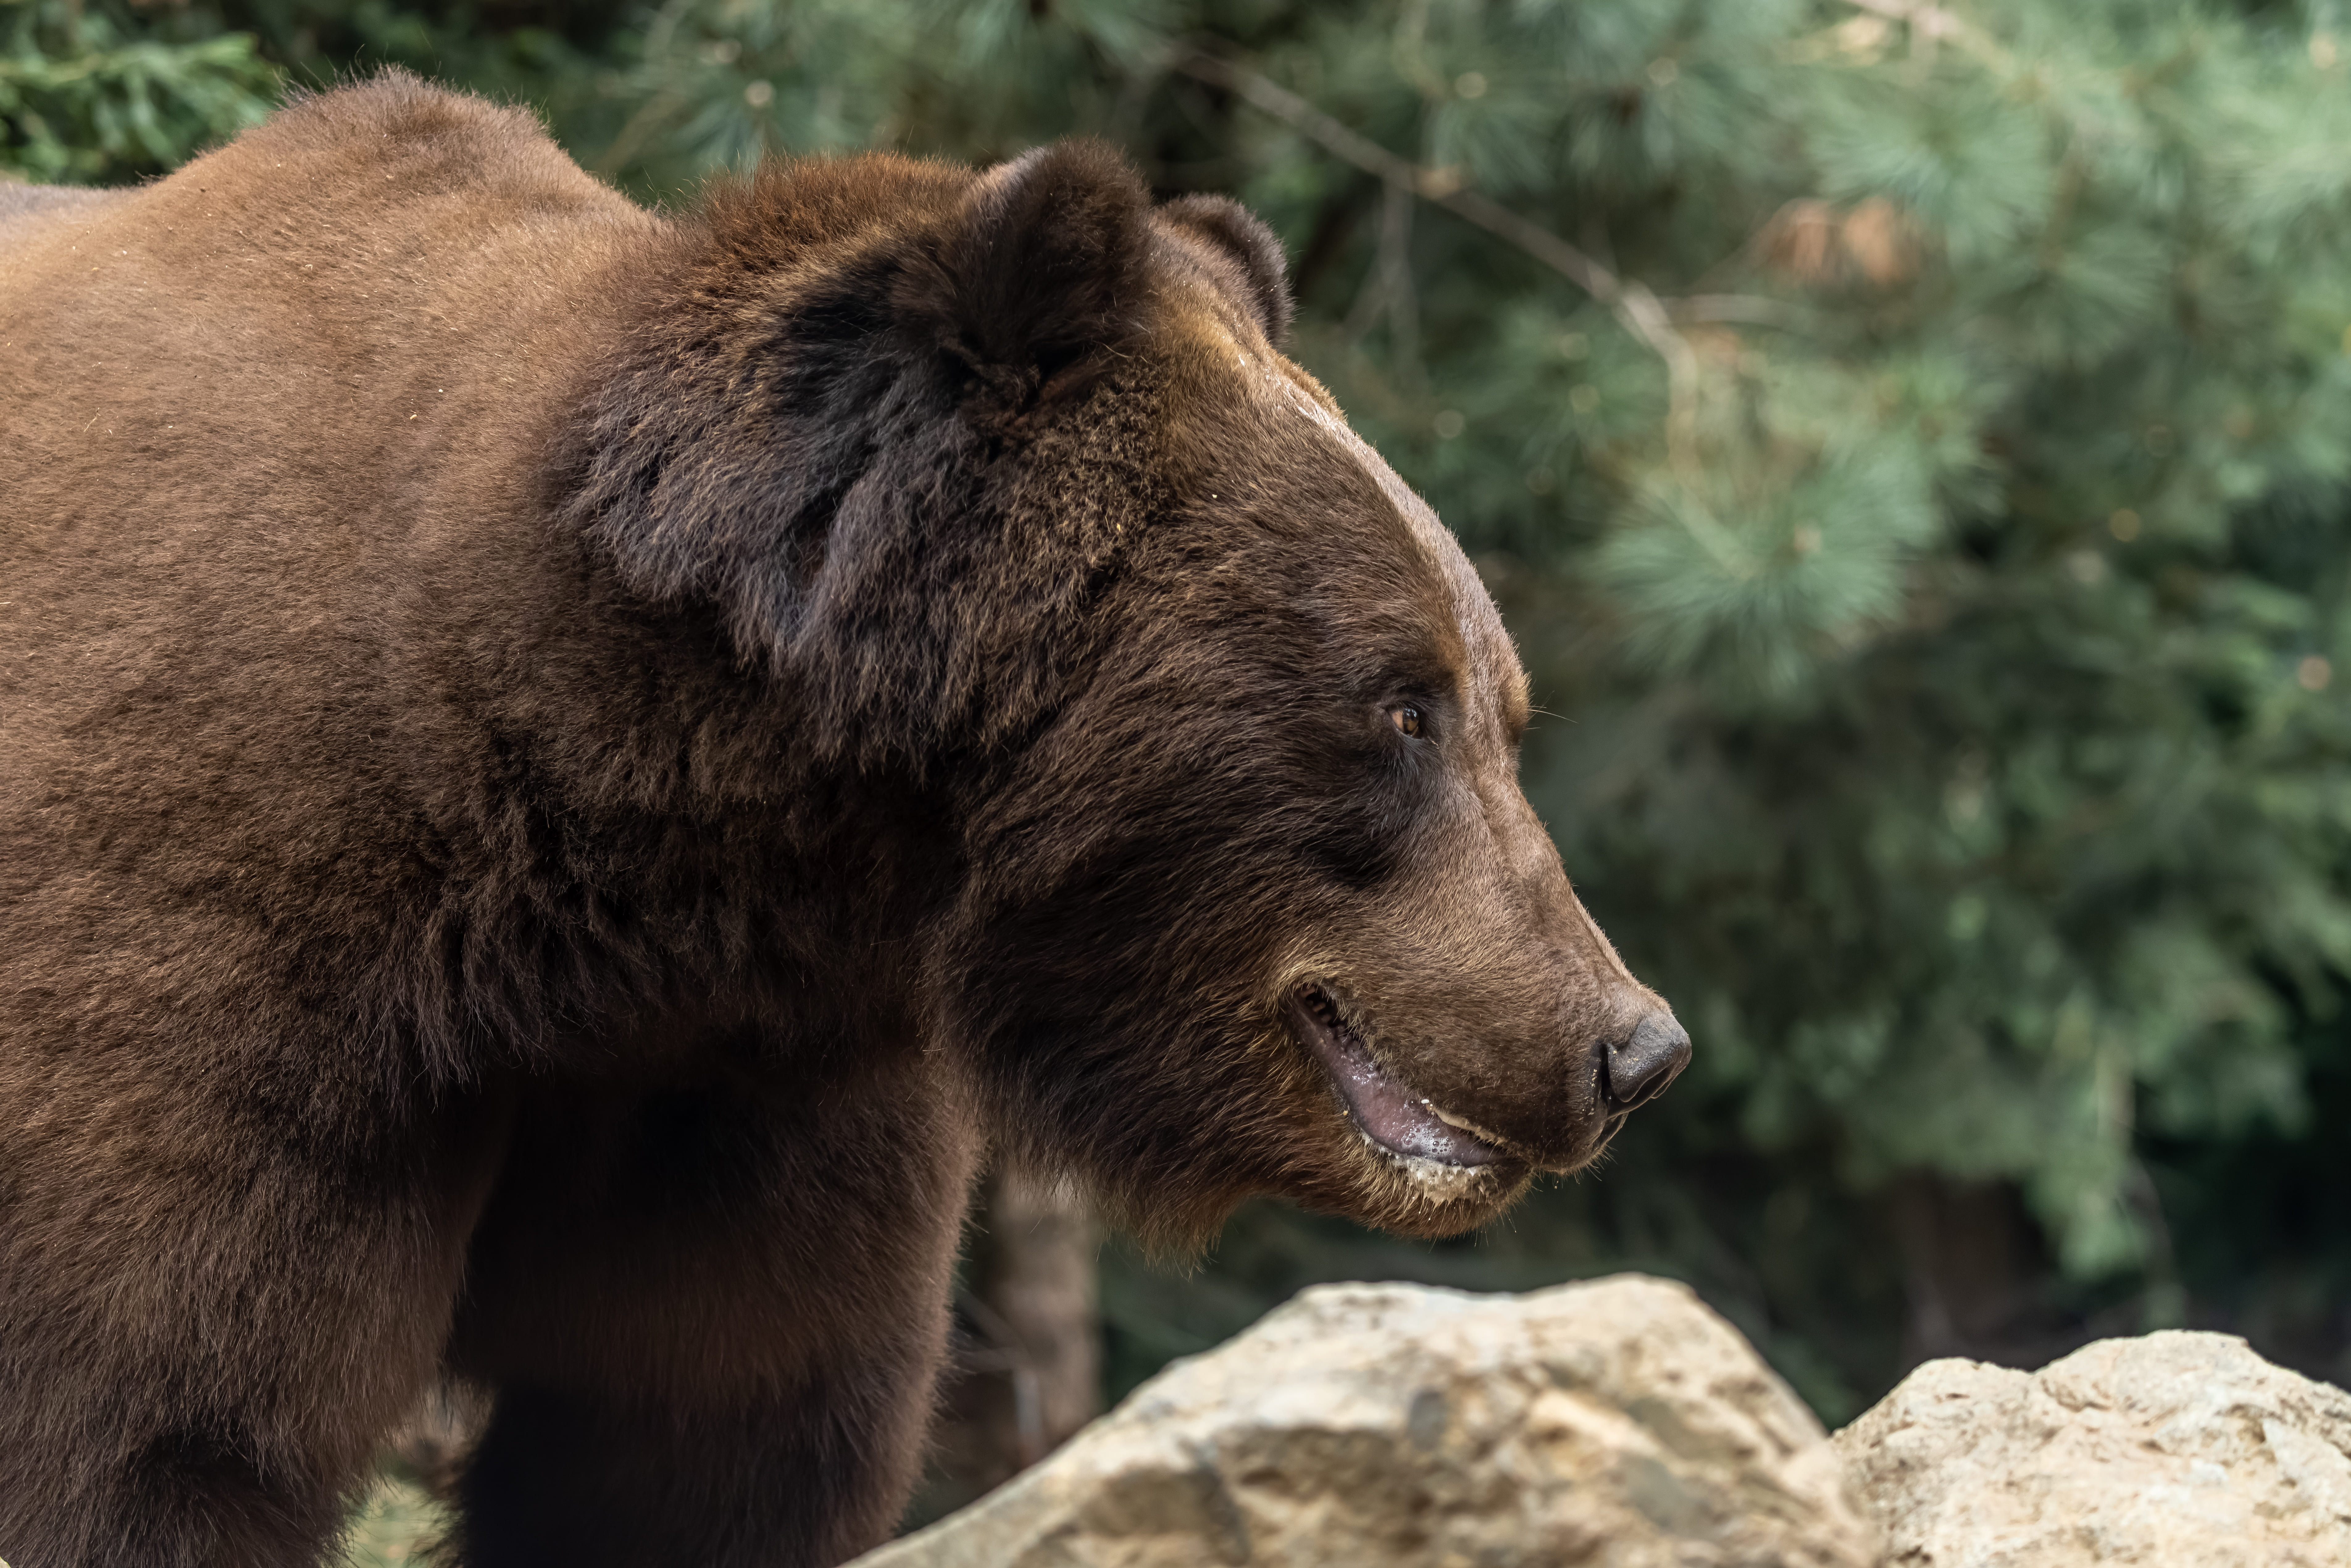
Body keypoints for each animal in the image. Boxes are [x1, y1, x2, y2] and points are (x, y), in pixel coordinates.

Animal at [0, 73, 1693, 1568]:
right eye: (1398, 706)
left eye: (1500, 705)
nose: (1628, 1044)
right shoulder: (229, 955)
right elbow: (152, 1428)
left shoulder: (758, 1091)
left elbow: (707, 1449)